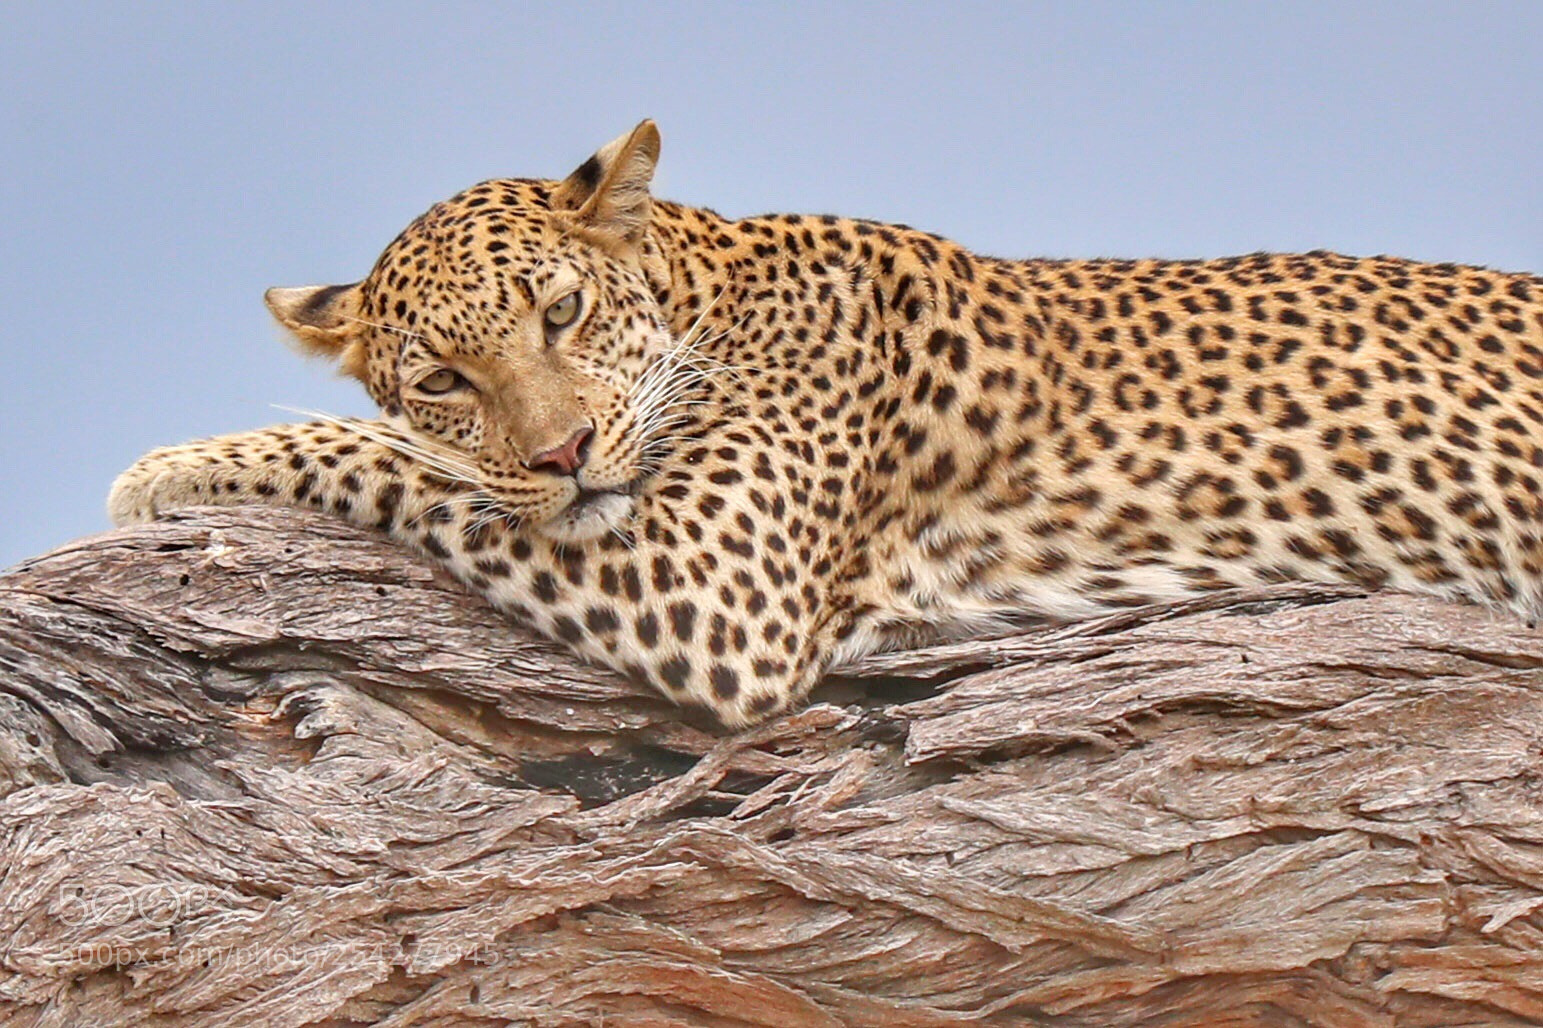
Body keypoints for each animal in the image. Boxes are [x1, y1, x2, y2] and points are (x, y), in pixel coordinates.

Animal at [110, 120, 1543, 727]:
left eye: (562, 311)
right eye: (447, 379)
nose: (566, 454)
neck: (708, 286)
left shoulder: (713, 585)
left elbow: (384, 457)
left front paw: (171, 467)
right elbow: (433, 462)